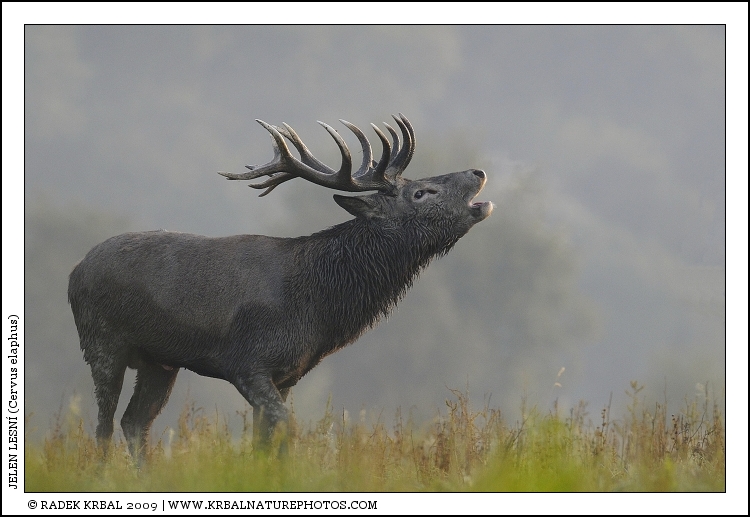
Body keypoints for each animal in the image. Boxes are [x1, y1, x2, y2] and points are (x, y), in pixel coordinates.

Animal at [68, 114, 494, 462]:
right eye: (421, 193)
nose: (477, 172)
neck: (317, 308)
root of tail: (74, 272)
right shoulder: (247, 362)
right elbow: (285, 432)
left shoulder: (286, 375)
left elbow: (265, 442)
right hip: (102, 343)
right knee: (105, 426)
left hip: (159, 361)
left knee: (135, 423)